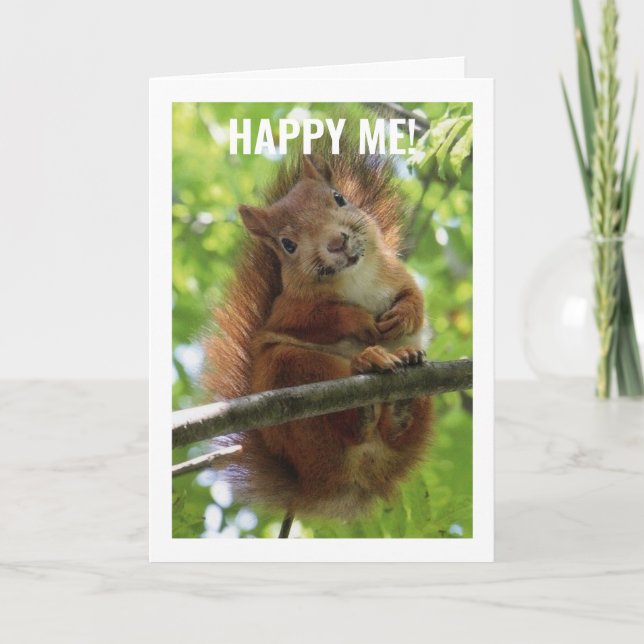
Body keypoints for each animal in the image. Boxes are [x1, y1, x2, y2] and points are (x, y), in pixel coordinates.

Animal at [203, 149, 433, 523]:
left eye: (339, 198)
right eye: (288, 244)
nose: (336, 242)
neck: (354, 277)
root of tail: (324, 486)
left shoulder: (395, 272)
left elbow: (415, 297)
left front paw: (404, 315)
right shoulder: (288, 310)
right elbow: (321, 318)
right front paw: (358, 319)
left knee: (395, 436)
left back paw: (402, 388)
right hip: (293, 373)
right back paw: (367, 371)